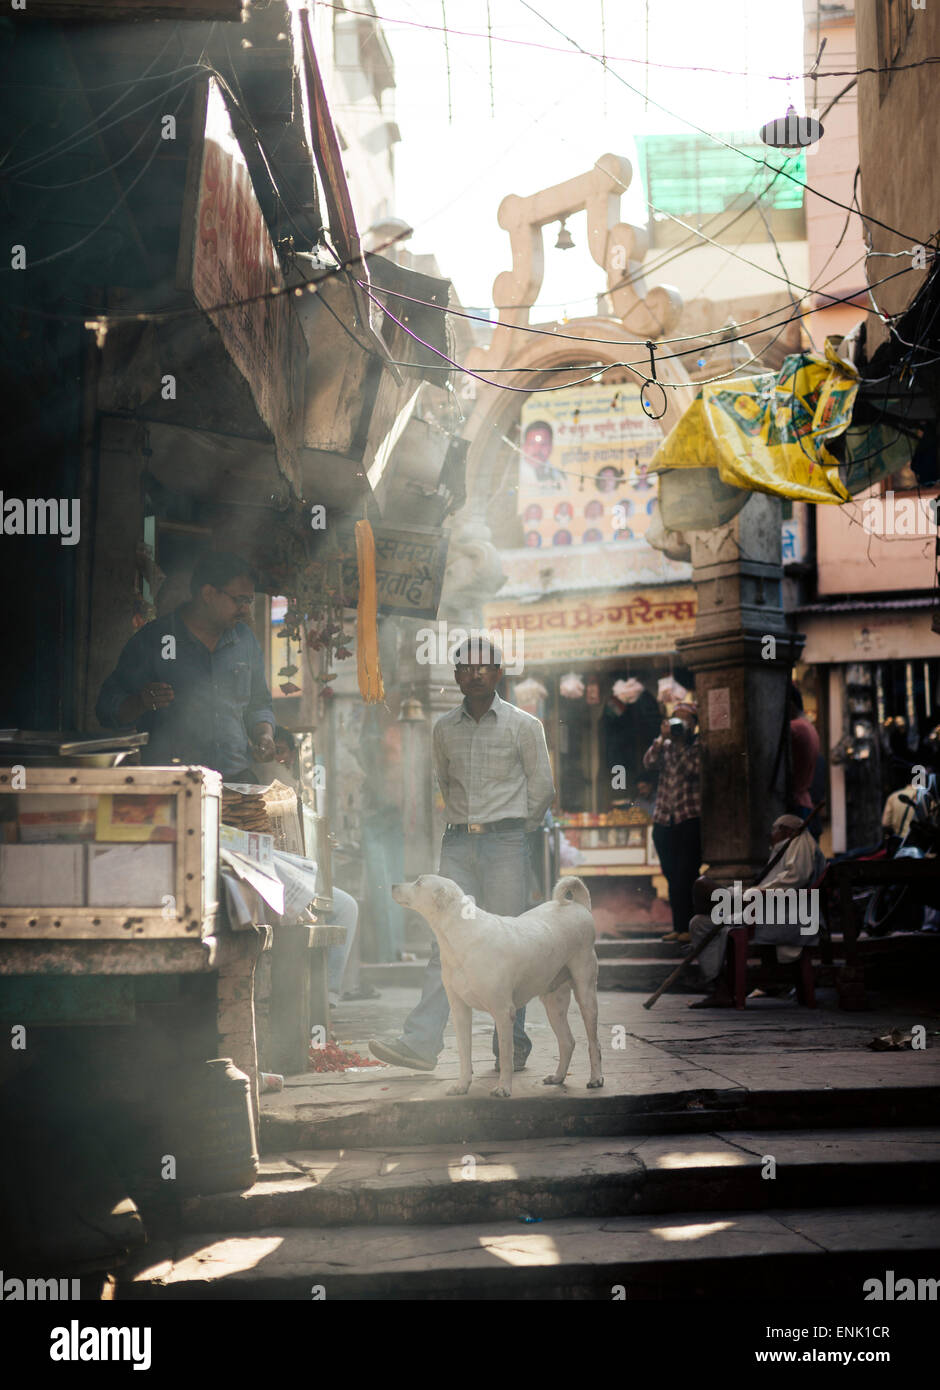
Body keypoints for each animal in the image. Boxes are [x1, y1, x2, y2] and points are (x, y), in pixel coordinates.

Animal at [389, 878, 603, 1095]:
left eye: (419, 882)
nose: (393, 886)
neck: (460, 935)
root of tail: (579, 906)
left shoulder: (503, 1011)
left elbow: (507, 1055)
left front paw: (503, 1088)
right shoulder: (460, 1011)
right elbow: (464, 1053)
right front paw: (462, 1085)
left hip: (586, 990)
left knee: (594, 1042)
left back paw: (596, 1078)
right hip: (554, 1002)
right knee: (567, 1041)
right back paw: (558, 1077)